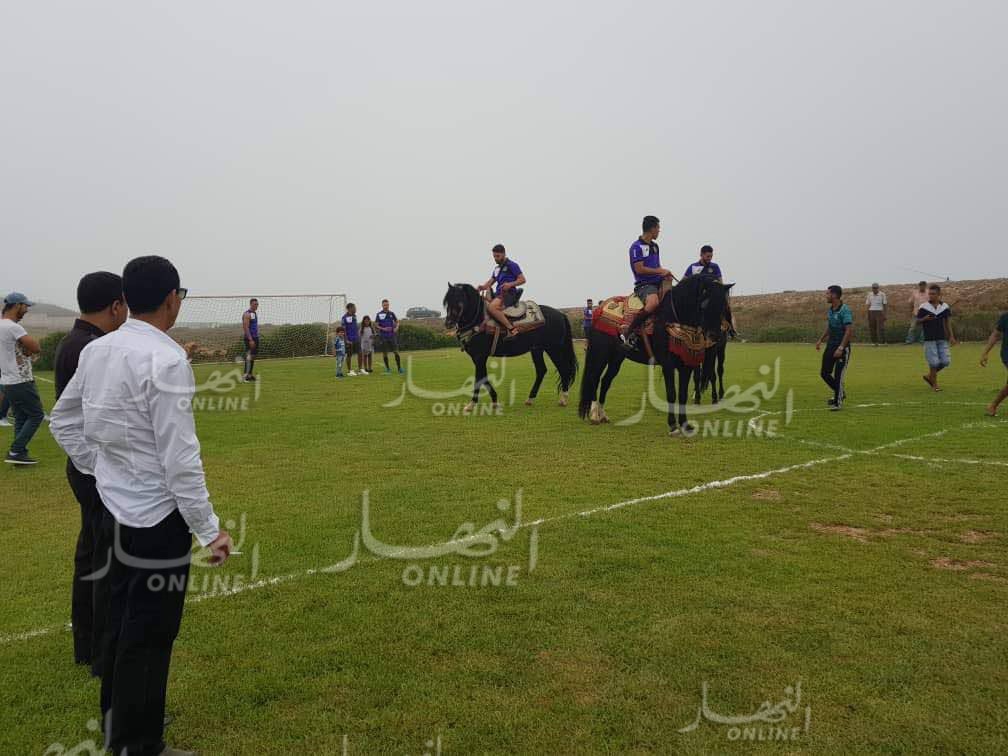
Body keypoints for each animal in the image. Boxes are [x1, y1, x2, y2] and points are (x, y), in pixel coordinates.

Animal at [443, 283, 579, 412]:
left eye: (459, 300)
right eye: (447, 301)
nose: (448, 323)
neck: (479, 320)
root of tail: (560, 314)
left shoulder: (479, 356)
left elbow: (479, 378)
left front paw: (473, 405)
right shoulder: (478, 357)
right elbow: (482, 377)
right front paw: (492, 401)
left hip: (554, 348)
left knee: (564, 369)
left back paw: (563, 399)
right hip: (537, 349)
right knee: (541, 370)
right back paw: (530, 399)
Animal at [578, 275, 732, 434]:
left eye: (723, 306)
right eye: (705, 304)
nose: (715, 336)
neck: (674, 317)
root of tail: (600, 309)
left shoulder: (686, 365)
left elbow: (682, 394)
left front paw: (685, 424)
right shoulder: (668, 364)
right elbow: (672, 393)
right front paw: (673, 426)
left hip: (616, 358)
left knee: (605, 381)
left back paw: (602, 415)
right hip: (600, 354)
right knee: (594, 378)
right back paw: (594, 415)